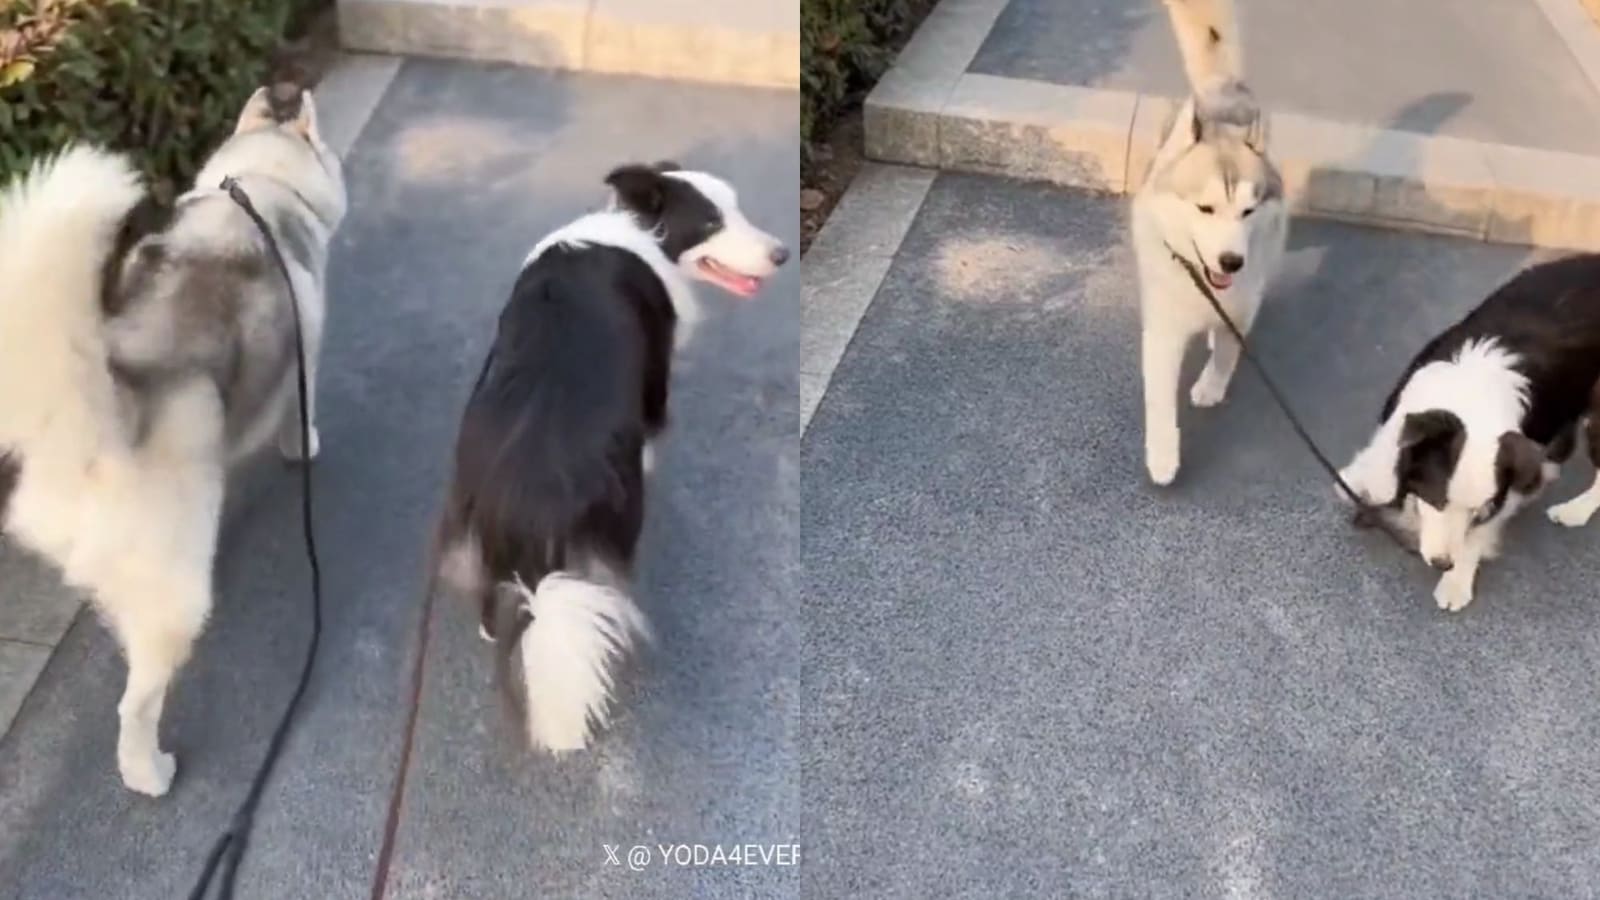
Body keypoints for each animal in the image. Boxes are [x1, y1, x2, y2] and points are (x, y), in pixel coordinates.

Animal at [0, 82, 347, 791]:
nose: (287, 90)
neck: (261, 184)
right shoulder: (305, 355)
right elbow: (296, 421)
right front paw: (303, 446)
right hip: (177, 599)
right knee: (135, 705)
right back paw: (149, 772)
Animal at [438, 160, 787, 749]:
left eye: (736, 208)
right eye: (711, 221)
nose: (783, 254)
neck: (637, 230)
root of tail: (532, 498)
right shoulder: (654, 383)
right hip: (618, 521)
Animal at [1139, 0, 1286, 483]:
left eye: (1248, 212)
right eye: (1205, 209)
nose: (1231, 261)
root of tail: (1220, 86)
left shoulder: (1241, 304)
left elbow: (1227, 348)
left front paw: (1211, 384)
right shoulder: (1163, 326)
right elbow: (1158, 395)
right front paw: (1162, 455)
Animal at [1344, 249, 1600, 608]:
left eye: (1477, 511)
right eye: (1437, 501)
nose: (1442, 563)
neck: (1470, 396)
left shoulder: (1503, 486)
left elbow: (1476, 533)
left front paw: (1456, 581)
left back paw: (1575, 510)